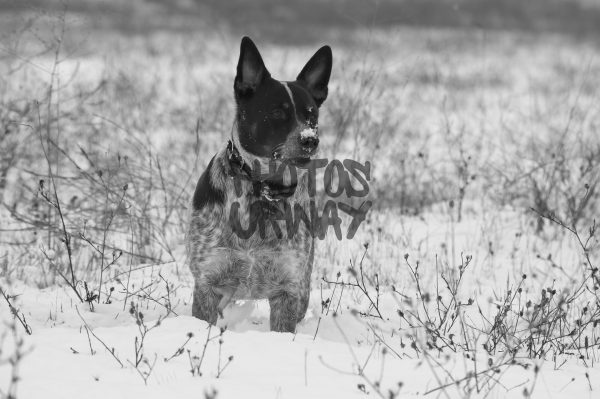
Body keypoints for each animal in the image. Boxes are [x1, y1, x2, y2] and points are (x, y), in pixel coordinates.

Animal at [186, 37, 332, 332]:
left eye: (311, 114)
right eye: (277, 112)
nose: (310, 140)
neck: (262, 187)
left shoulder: (289, 288)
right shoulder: (208, 282)